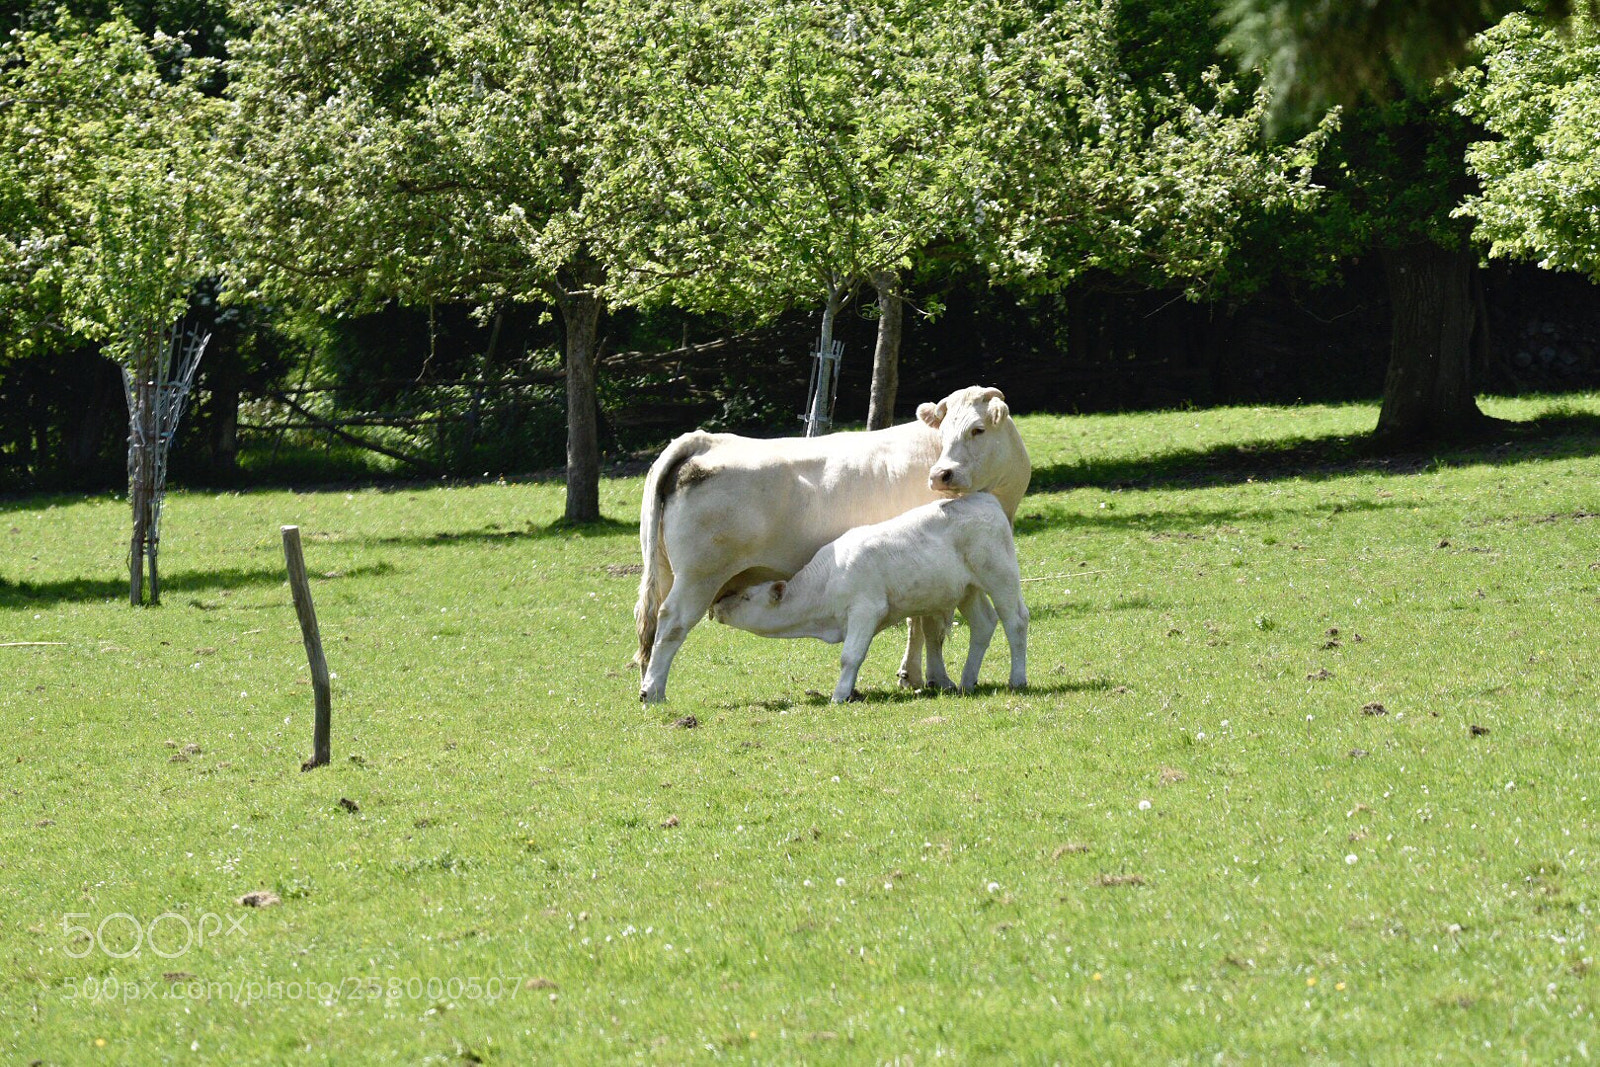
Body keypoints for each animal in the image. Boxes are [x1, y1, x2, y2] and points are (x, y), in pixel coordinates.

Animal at [708, 492, 1028, 703]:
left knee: (1015, 621)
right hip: (968, 590)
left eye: (747, 596)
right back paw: (966, 682)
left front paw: (840, 695)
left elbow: (850, 656)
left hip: (1001, 577)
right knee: (984, 624)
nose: (717, 605)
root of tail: (983, 498)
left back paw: (1017, 680)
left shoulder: (866, 609)